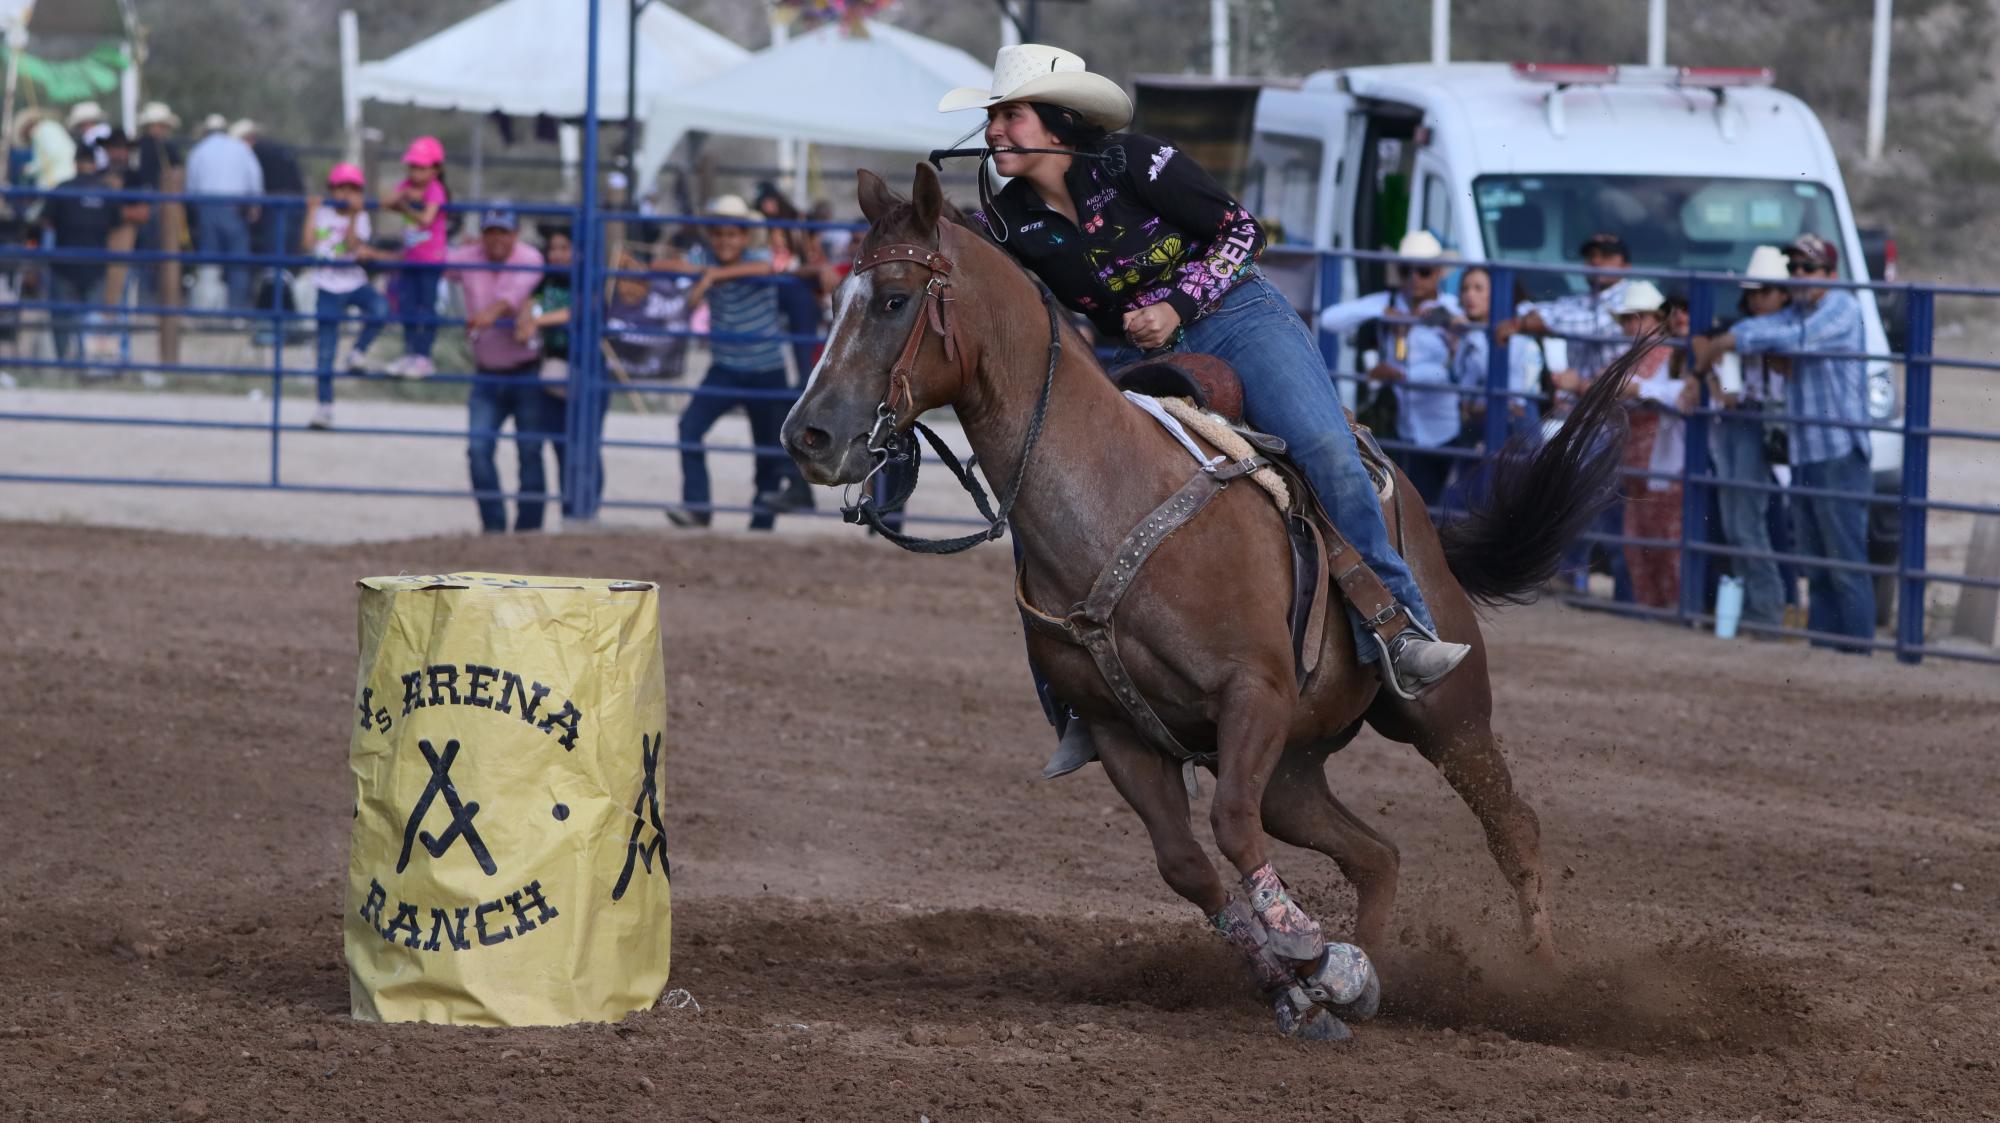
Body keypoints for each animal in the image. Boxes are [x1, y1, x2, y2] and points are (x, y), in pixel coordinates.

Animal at [772, 161, 1632, 1039]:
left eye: (893, 299)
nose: (806, 435)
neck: (1111, 499)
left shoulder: (1252, 694)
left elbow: (1227, 825)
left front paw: (1315, 957)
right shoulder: (1121, 731)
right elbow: (1187, 862)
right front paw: (1301, 987)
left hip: (1443, 709)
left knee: (1511, 824)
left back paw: (1542, 977)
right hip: (1295, 770)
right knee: (1376, 855)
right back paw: (1374, 971)